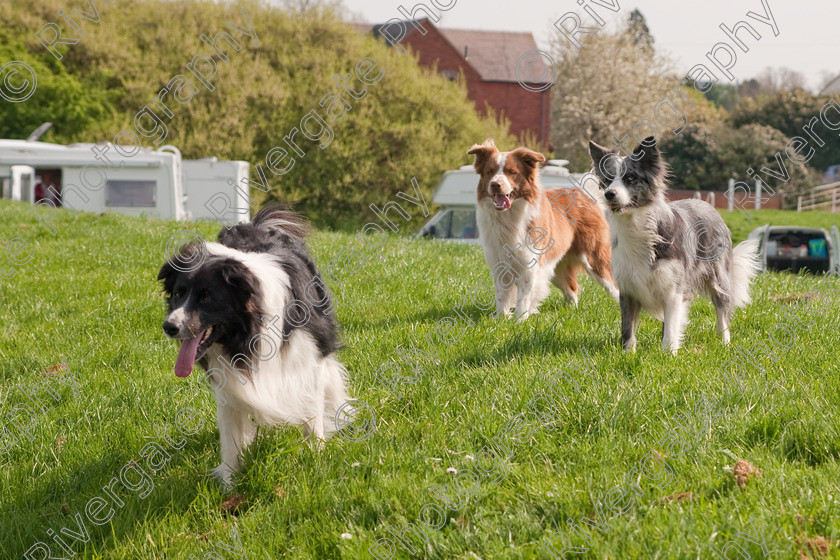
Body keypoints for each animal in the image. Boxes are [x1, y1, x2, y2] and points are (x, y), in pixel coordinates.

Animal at [159, 205, 350, 486]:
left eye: (207, 297)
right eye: (177, 294)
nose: (169, 327)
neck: (248, 332)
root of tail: (257, 225)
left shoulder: (308, 358)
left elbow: (312, 414)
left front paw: (316, 458)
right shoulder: (228, 382)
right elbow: (230, 434)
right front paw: (228, 483)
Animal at [466, 140, 616, 322]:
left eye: (511, 172)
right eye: (490, 172)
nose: (495, 184)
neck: (508, 217)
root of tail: (582, 194)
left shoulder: (529, 265)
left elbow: (523, 297)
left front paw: (519, 321)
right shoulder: (499, 264)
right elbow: (501, 296)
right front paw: (501, 319)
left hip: (594, 259)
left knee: (614, 287)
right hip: (555, 268)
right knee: (572, 289)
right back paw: (572, 311)